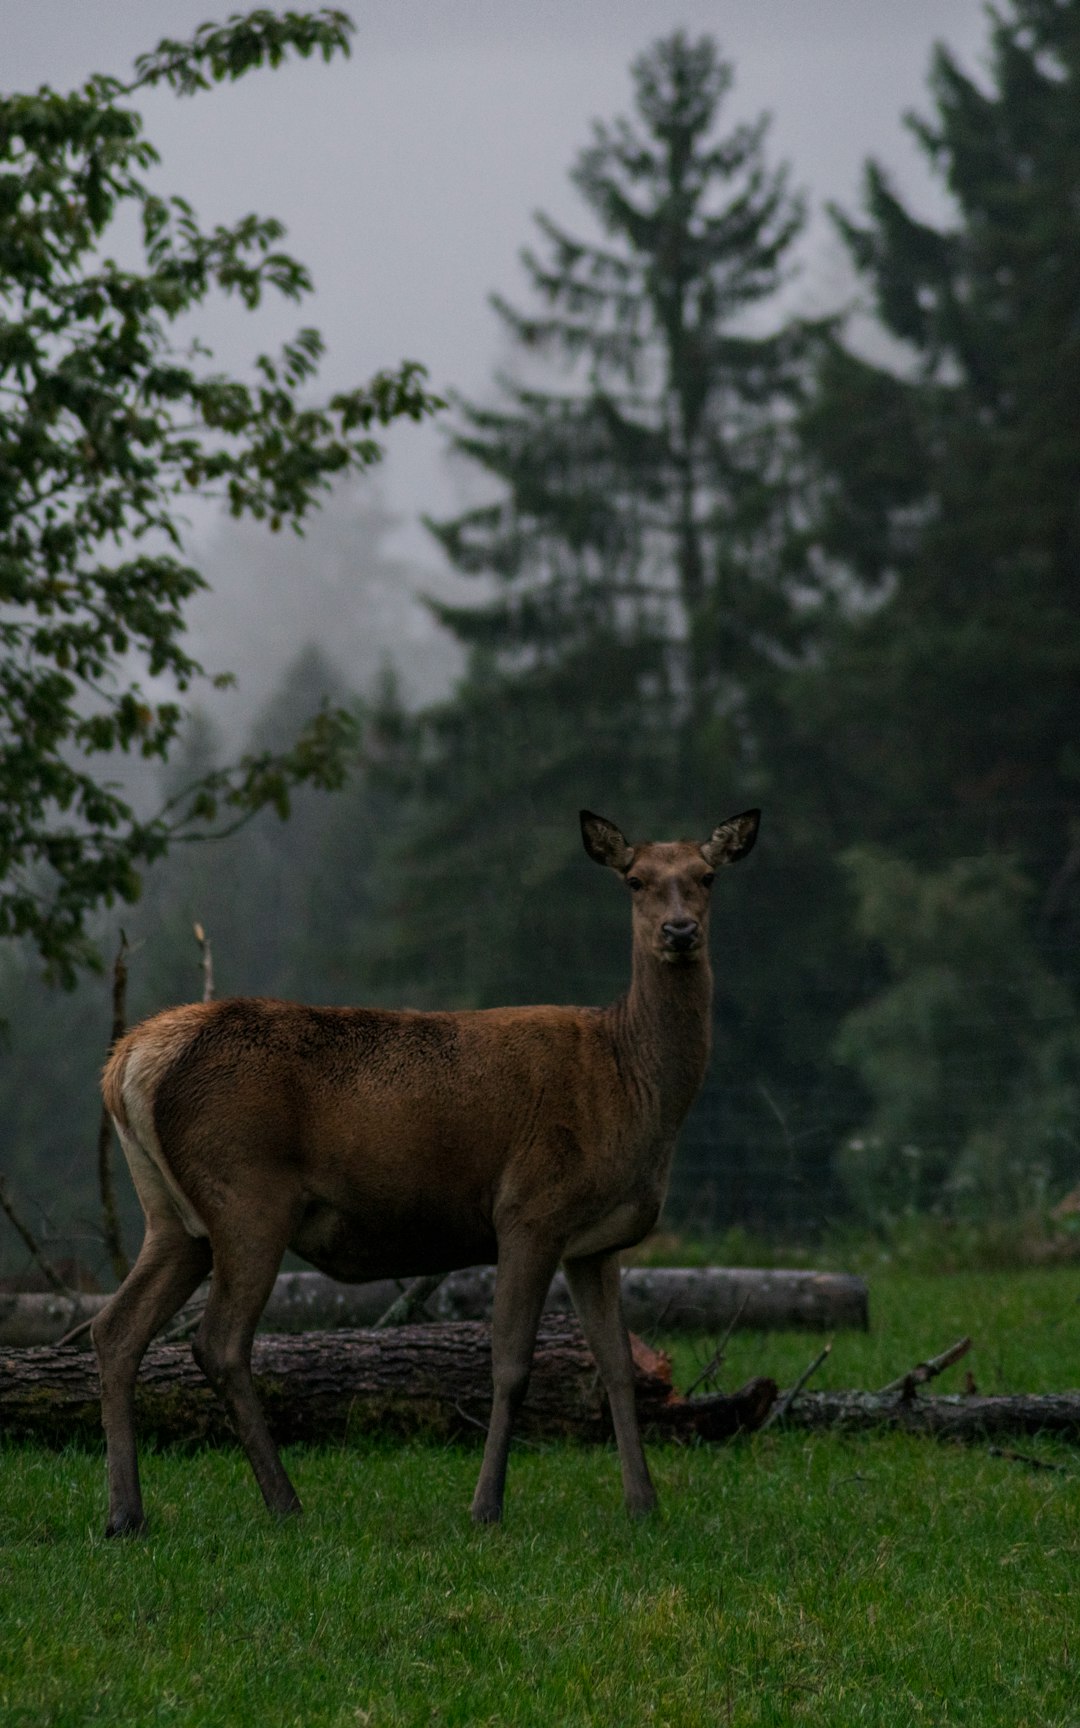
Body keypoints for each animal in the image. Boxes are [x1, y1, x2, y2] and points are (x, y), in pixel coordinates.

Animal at [92, 801, 753, 1534]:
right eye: (634, 880)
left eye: (707, 877)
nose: (680, 931)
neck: (630, 1086)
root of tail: (127, 1062)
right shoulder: (530, 1208)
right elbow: (511, 1363)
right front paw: (487, 1506)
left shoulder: (596, 1243)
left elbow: (616, 1365)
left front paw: (643, 1504)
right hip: (246, 1195)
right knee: (218, 1342)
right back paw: (285, 1502)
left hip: (172, 1218)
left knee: (115, 1328)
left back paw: (126, 1513)